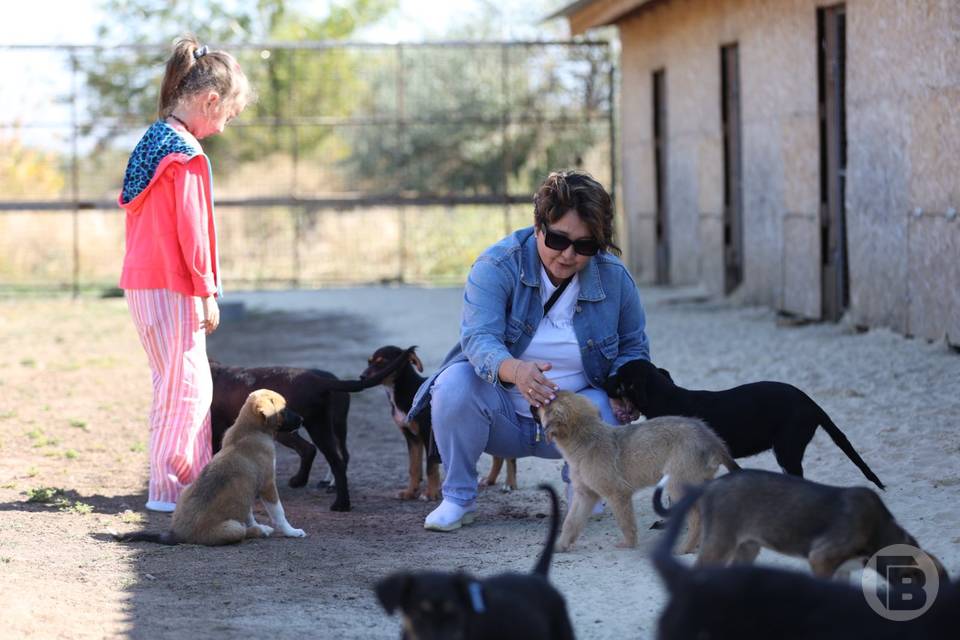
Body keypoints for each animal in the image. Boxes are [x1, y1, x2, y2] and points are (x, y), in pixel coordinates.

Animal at [117, 388, 308, 548]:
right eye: (284, 410)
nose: (302, 420)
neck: (249, 431)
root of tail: (177, 534)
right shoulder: (268, 485)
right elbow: (279, 513)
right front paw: (292, 532)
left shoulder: (247, 491)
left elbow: (249, 513)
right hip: (232, 528)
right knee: (243, 531)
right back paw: (262, 530)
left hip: (186, 489)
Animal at [536, 392, 740, 552]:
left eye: (546, 402)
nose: (532, 401)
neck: (586, 440)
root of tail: (712, 439)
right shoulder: (585, 494)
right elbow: (570, 522)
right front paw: (560, 545)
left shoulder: (618, 494)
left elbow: (626, 523)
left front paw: (629, 544)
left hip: (677, 485)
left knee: (697, 520)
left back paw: (685, 548)